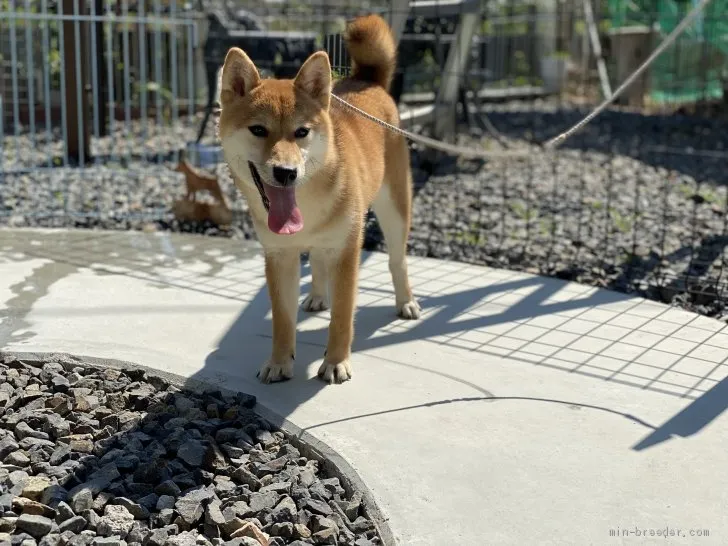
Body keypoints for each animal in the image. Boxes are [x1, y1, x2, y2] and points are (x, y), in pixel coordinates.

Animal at [218, 14, 420, 384]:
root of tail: (366, 80)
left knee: (396, 260)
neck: (307, 205)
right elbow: (282, 320)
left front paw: (336, 362)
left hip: (395, 209)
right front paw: (279, 361)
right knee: (317, 263)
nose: (286, 172)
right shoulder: (280, 256)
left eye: (301, 132)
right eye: (258, 130)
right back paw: (315, 296)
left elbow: (342, 317)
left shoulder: (346, 251)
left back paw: (406, 301)